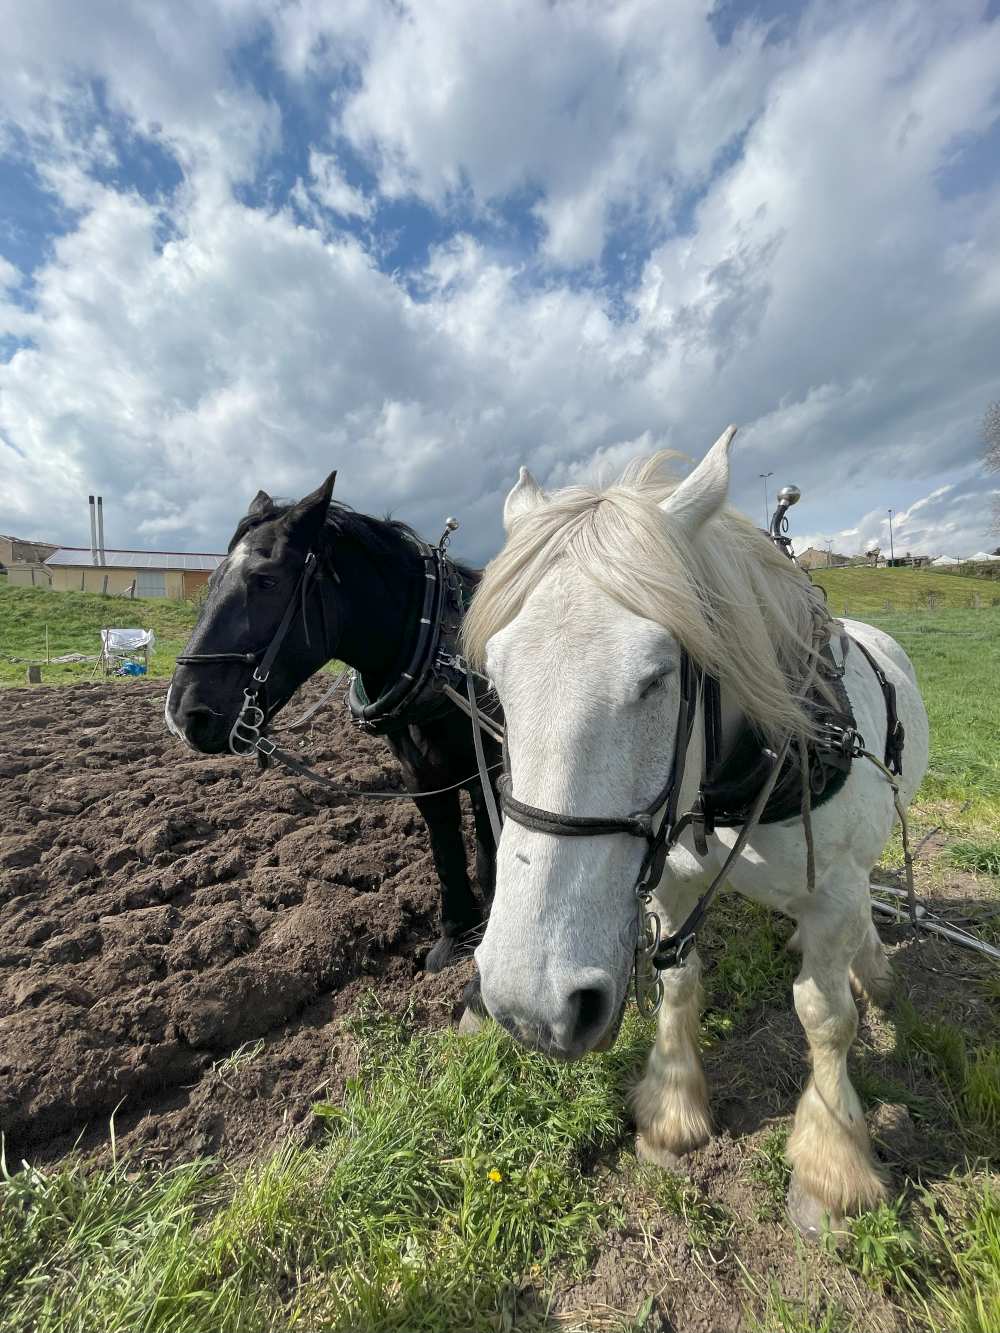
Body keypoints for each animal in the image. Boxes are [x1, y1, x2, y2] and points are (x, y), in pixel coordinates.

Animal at [165, 472, 502, 974]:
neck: (443, 650)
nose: (184, 714)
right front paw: (455, 937)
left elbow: (490, 853)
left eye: (266, 580)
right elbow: (446, 851)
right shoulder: (421, 776)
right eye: (212, 580)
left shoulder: (490, 769)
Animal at [462, 427, 930, 1240]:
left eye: (657, 677)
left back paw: (868, 965)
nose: (529, 1007)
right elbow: (679, 982)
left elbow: (826, 1017)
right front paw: (673, 1109)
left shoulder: (834, 890)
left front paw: (832, 1162)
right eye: (494, 681)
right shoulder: (672, 881)